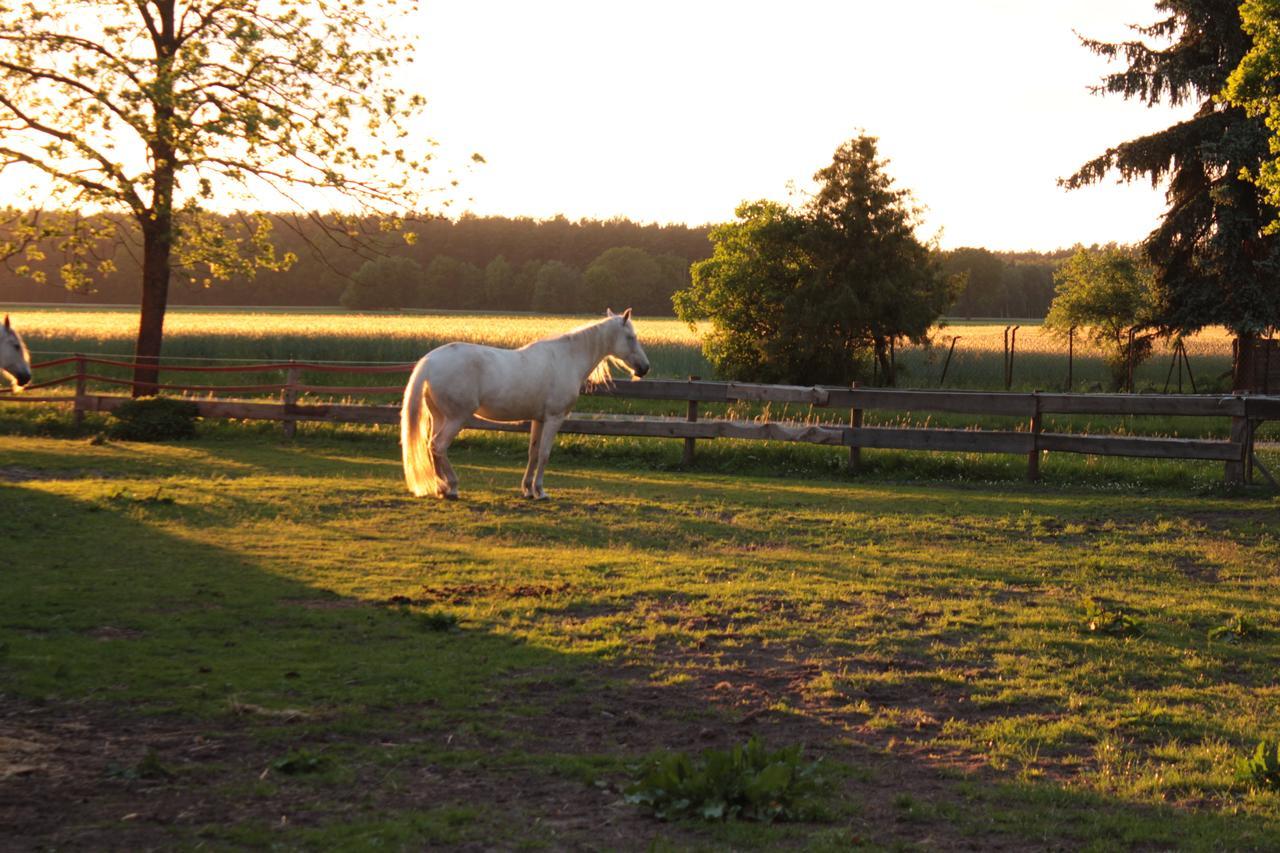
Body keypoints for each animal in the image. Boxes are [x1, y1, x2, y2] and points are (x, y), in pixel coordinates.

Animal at [399, 308, 650, 499]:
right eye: (631, 337)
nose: (645, 368)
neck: (567, 358)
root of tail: (429, 361)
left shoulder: (538, 419)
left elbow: (533, 453)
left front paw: (528, 490)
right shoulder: (554, 418)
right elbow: (545, 454)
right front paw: (541, 491)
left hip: (440, 417)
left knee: (431, 446)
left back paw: (441, 488)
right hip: (456, 418)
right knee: (438, 445)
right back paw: (451, 487)